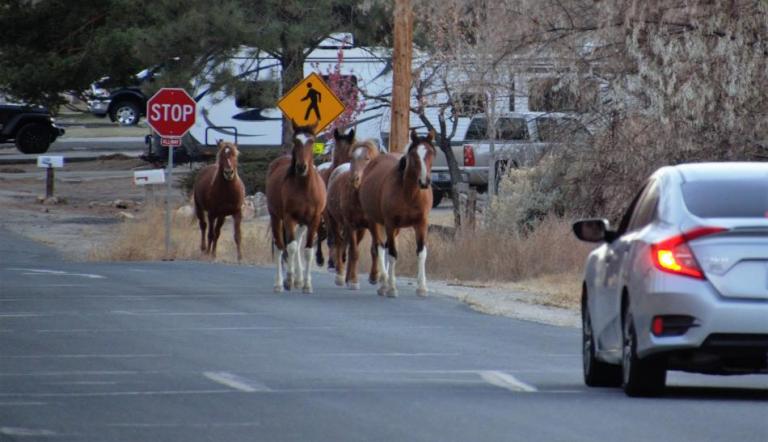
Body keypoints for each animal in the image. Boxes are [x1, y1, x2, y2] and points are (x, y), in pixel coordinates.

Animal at [265, 122, 327, 293]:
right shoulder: (289, 218)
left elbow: (308, 251)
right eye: (295, 141)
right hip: (276, 218)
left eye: (311, 141)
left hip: (302, 223)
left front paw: (306, 284)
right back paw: (279, 283)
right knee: (280, 247)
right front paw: (288, 280)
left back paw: (299, 280)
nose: (301, 167)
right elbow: (290, 248)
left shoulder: (313, 220)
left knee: (298, 244)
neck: (304, 187)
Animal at [316, 128, 356, 269]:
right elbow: (332, 238)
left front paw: (342, 257)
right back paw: (321, 258)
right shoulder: (329, 215)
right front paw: (332, 261)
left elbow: (344, 237)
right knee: (322, 233)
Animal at [325, 140, 380, 289]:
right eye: (352, 158)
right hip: (334, 222)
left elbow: (374, 249)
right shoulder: (350, 224)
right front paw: (354, 281)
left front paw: (373, 277)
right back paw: (340, 275)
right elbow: (354, 252)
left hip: (360, 229)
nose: (354, 179)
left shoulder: (373, 225)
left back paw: (347, 277)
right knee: (339, 244)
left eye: (367, 159)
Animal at [359, 130, 436, 297]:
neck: (409, 194)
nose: (424, 182)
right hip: (375, 222)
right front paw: (392, 288)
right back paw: (383, 284)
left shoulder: (421, 223)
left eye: (431, 153)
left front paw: (422, 288)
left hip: (396, 229)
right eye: (414, 155)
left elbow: (421, 252)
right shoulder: (390, 223)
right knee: (380, 248)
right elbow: (392, 254)